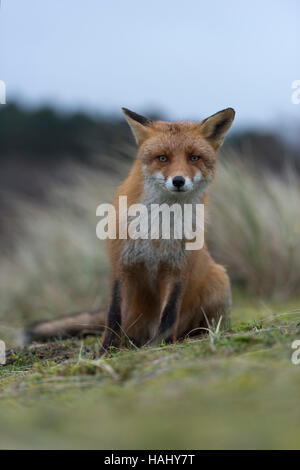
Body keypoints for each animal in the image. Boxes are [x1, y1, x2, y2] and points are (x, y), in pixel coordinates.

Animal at [24, 106, 236, 348]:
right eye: (162, 158)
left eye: (194, 157)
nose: (179, 181)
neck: (158, 227)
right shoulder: (122, 264)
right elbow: (114, 314)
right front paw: (107, 349)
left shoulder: (177, 269)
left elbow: (169, 313)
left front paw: (161, 344)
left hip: (219, 279)